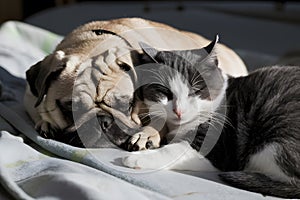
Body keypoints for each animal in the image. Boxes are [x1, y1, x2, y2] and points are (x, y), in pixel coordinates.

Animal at [122, 36, 300, 198]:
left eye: (195, 91)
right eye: (164, 93)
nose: (178, 111)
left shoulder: (219, 147)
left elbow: (175, 150)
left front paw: (134, 159)